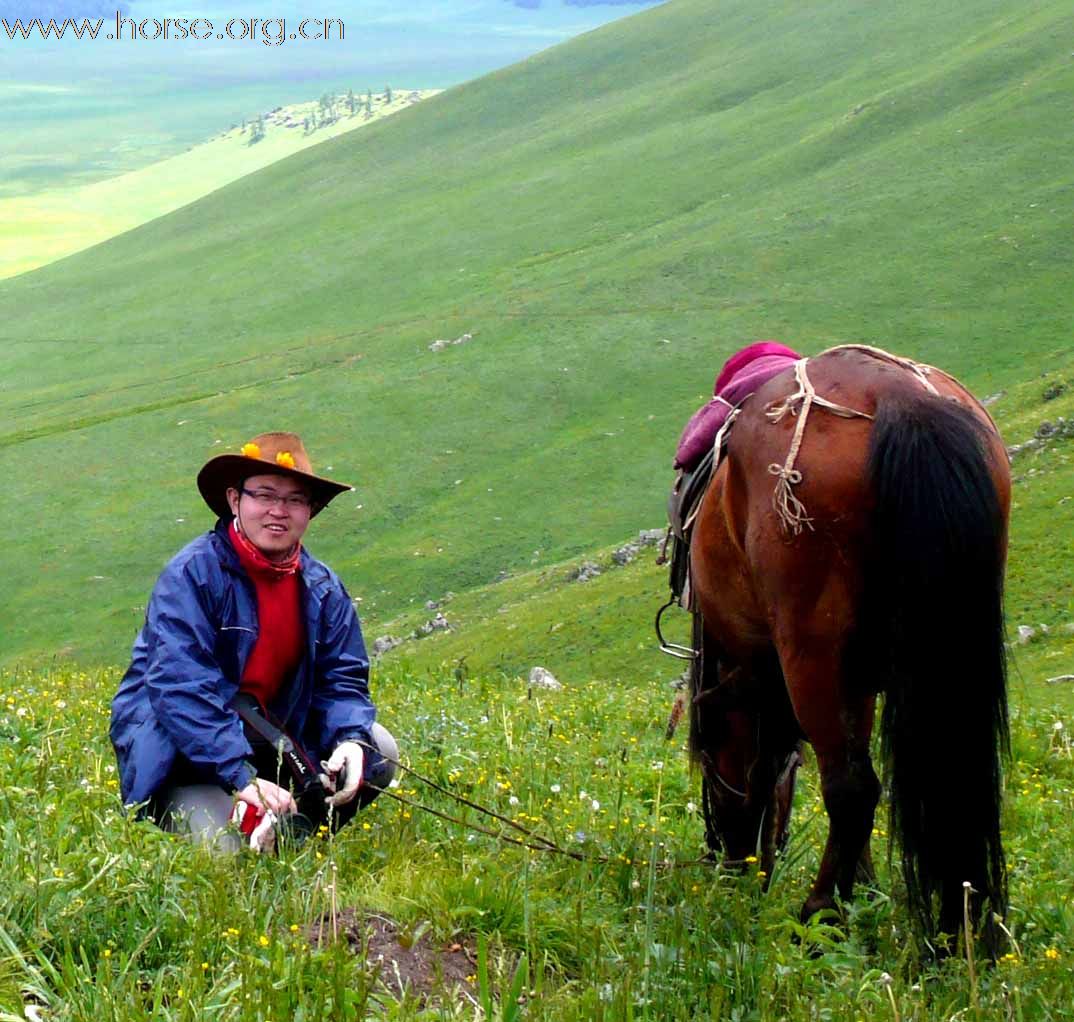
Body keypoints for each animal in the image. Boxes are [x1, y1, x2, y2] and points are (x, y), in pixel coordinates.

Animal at [687, 345, 1005, 948]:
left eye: (709, 764)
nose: (729, 863)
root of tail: (898, 397)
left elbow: (770, 768)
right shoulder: (854, 680)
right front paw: (869, 887)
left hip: (812, 649)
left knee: (852, 788)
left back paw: (819, 917)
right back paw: (959, 929)